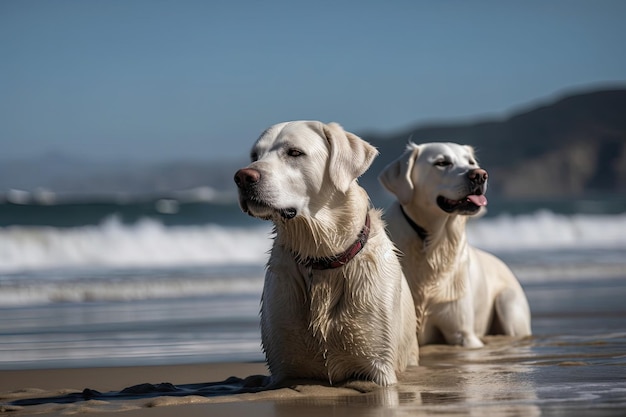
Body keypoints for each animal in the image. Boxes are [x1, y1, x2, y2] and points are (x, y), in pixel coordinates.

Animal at [232, 122, 416, 386]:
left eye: (294, 152)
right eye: (255, 156)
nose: (243, 177)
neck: (322, 257)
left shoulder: (380, 366)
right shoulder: (282, 369)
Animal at [378, 141, 528, 346]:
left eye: (471, 162)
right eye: (442, 163)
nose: (479, 174)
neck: (434, 243)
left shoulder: (463, 333)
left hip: (508, 304)